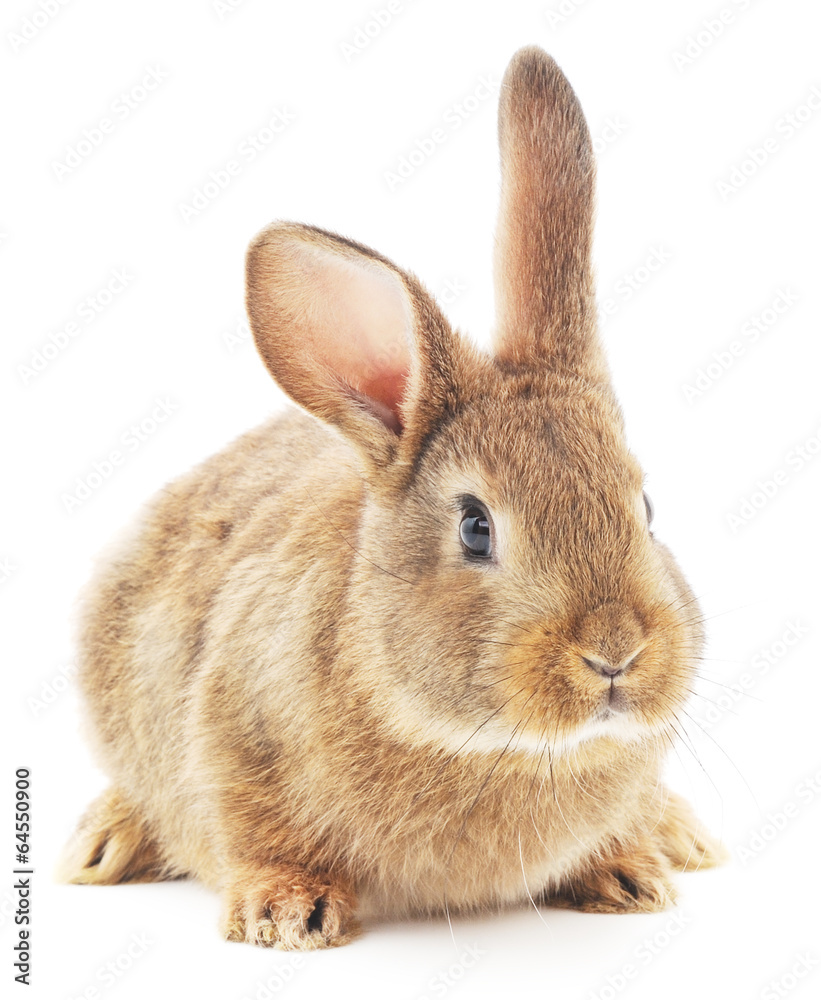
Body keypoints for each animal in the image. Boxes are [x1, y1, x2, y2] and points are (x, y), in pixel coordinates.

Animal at [58, 46, 726, 949]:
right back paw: (101, 845)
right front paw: (286, 914)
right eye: (475, 528)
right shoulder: (232, 731)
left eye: (646, 509)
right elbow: (255, 832)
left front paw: (626, 875)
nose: (615, 652)